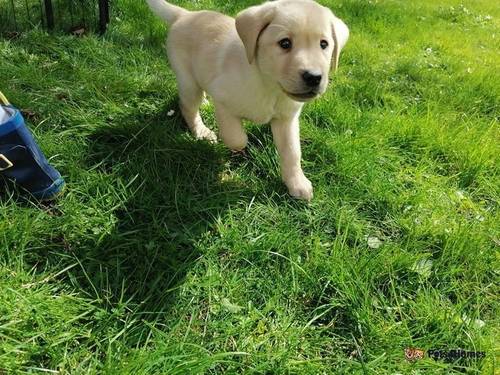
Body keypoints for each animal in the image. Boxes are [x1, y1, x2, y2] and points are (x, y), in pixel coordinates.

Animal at [146, 0, 348, 200]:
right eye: (285, 43)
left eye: (324, 44)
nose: (314, 77)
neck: (269, 86)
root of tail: (185, 15)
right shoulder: (222, 100)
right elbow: (236, 138)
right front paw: (240, 144)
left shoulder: (287, 119)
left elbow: (292, 152)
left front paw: (297, 182)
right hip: (188, 82)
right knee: (187, 107)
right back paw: (201, 131)